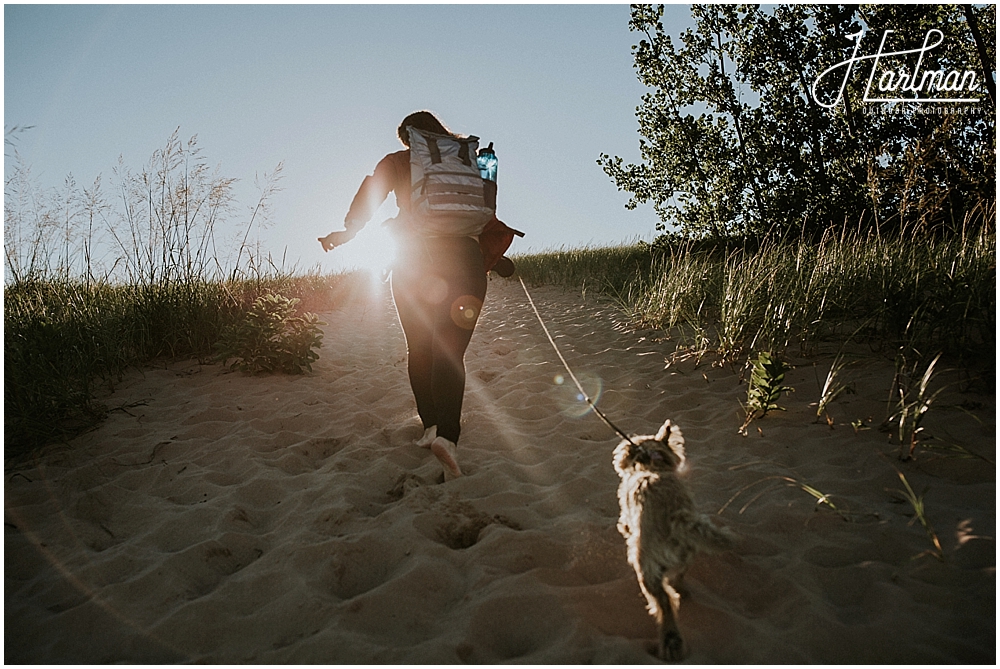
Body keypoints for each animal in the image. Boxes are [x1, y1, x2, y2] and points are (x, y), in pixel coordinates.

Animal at [608, 420, 736, 660]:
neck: (653, 467)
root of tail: (675, 516)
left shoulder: (626, 510)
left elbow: (625, 523)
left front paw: (624, 528)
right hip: (686, 553)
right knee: (679, 576)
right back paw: (681, 590)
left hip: (646, 567)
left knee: (664, 603)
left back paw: (671, 641)